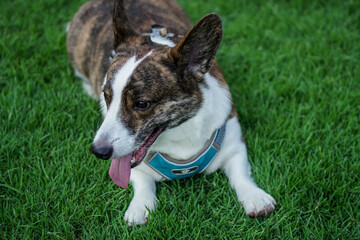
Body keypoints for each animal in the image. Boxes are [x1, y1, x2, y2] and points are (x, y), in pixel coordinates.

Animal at [67, 0, 276, 225]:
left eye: (142, 104)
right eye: (106, 96)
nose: (98, 151)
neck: (181, 132)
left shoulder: (234, 141)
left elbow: (241, 174)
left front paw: (255, 198)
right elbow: (142, 181)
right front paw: (140, 207)